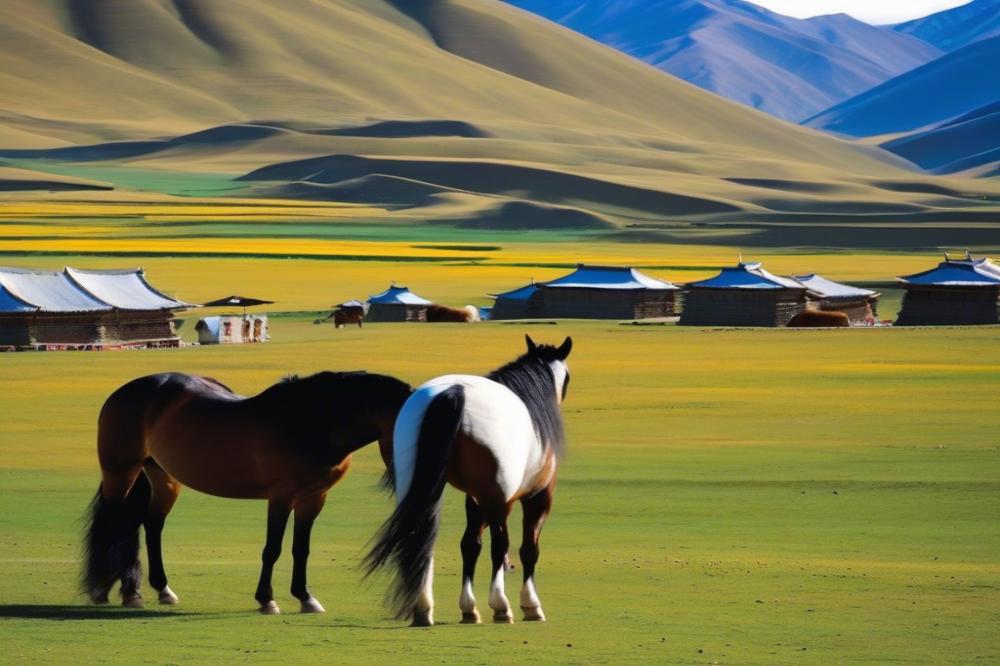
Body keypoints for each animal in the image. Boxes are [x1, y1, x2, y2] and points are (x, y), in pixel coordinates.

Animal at [82, 370, 412, 615]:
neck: (311, 422)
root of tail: (125, 392)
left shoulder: (313, 499)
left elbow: (301, 549)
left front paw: (305, 597)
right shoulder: (281, 497)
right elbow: (273, 549)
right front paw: (267, 599)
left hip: (164, 479)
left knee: (149, 526)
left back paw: (154, 589)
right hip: (121, 472)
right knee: (115, 523)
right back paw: (109, 590)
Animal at [366, 335, 572, 627]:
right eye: (567, 378)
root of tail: (453, 392)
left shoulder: (474, 499)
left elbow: (470, 545)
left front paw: (468, 608)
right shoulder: (535, 497)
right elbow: (527, 549)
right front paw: (530, 605)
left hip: (422, 490)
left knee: (420, 537)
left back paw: (423, 608)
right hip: (498, 500)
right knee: (499, 545)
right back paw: (501, 605)